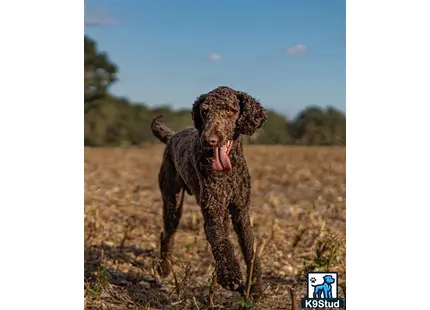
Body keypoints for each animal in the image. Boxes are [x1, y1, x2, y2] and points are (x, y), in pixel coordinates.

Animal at [150, 85, 266, 298]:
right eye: (204, 112)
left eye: (229, 111)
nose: (209, 140)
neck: (228, 173)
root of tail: (172, 136)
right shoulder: (212, 210)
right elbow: (220, 240)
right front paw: (230, 275)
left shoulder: (241, 212)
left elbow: (249, 249)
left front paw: (254, 287)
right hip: (172, 200)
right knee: (167, 233)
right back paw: (164, 267)